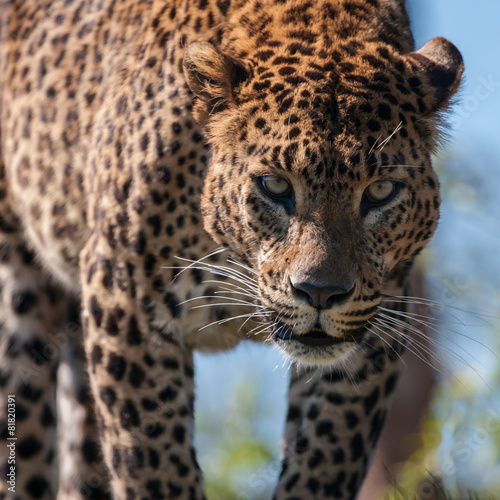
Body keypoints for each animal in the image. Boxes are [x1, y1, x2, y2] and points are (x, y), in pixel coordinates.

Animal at [0, 0, 460, 498]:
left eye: (379, 192)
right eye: (275, 185)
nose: (321, 293)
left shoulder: (378, 324)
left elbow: (325, 459)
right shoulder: (123, 297)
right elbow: (153, 462)